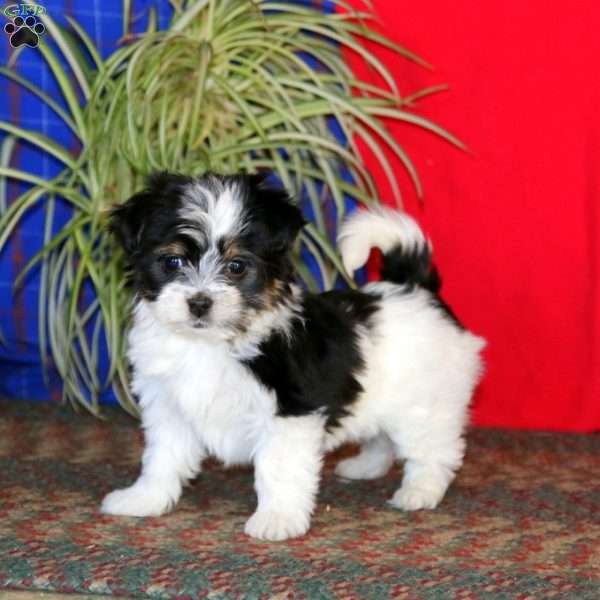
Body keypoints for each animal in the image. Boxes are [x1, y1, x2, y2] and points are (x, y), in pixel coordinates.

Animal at [102, 171, 488, 540]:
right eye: (173, 261)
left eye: (237, 266)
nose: (199, 302)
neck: (210, 342)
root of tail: (414, 288)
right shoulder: (168, 406)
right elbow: (162, 456)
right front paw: (144, 499)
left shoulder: (289, 411)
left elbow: (278, 467)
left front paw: (277, 519)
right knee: (382, 434)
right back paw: (365, 467)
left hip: (424, 403)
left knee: (433, 448)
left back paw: (420, 491)